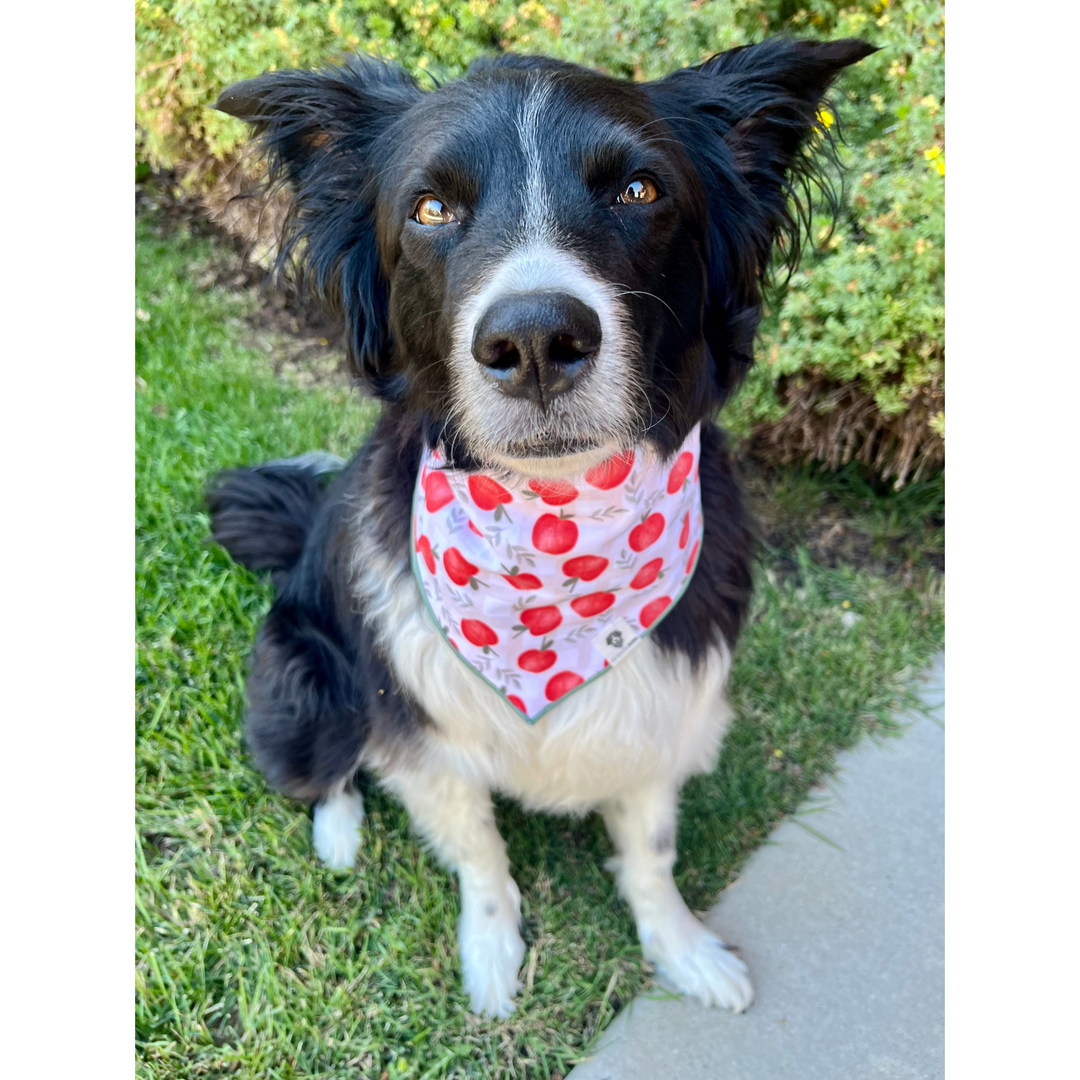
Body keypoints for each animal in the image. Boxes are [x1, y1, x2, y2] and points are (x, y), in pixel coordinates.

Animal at [208, 38, 876, 1015]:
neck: (554, 532)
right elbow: (480, 857)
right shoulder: (421, 732)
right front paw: (492, 957)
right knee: (325, 767)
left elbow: (651, 855)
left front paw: (682, 949)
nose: (532, 343)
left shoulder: (663, 720)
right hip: (308, 679)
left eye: (638, 189)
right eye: (431, 207)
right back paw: (339, 831)